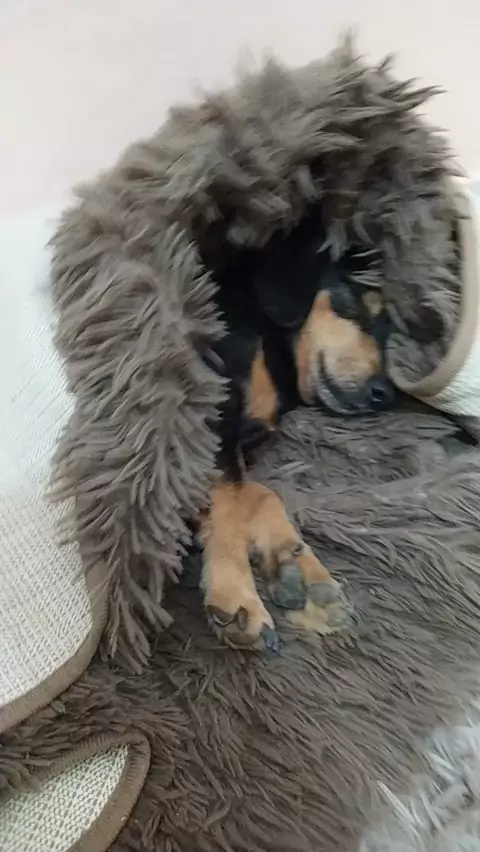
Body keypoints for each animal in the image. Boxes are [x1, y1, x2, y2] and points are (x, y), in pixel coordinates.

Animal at [196, 206, 395, 651]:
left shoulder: (245, 440)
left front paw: (299, 571)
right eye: (360, 295)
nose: (385, 394)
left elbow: (256, 493)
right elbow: (229, 498)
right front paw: (235, 592)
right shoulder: (212, 409)